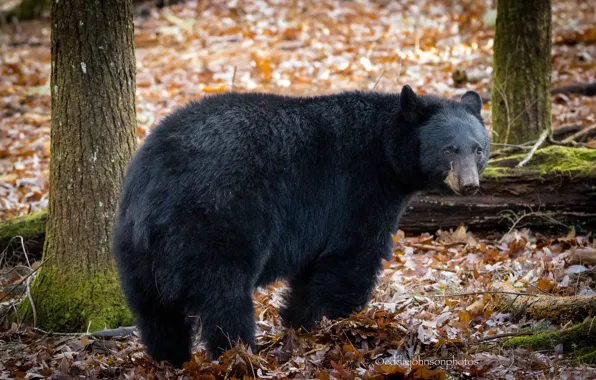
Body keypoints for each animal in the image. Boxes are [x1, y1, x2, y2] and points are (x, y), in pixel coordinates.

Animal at [112, 84, 488, 366]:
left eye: (478, 149)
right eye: (449, 149)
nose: (469, 185)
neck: (386, 151)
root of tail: (155, 186)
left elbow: (310, 276)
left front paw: (301, 327)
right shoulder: (357, 191)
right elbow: (353, 258)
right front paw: (346, 325)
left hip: (132, 244)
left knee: (154, 311)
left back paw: (171, 359)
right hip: (214, 223)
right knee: (224, 298)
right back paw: (240, 354)